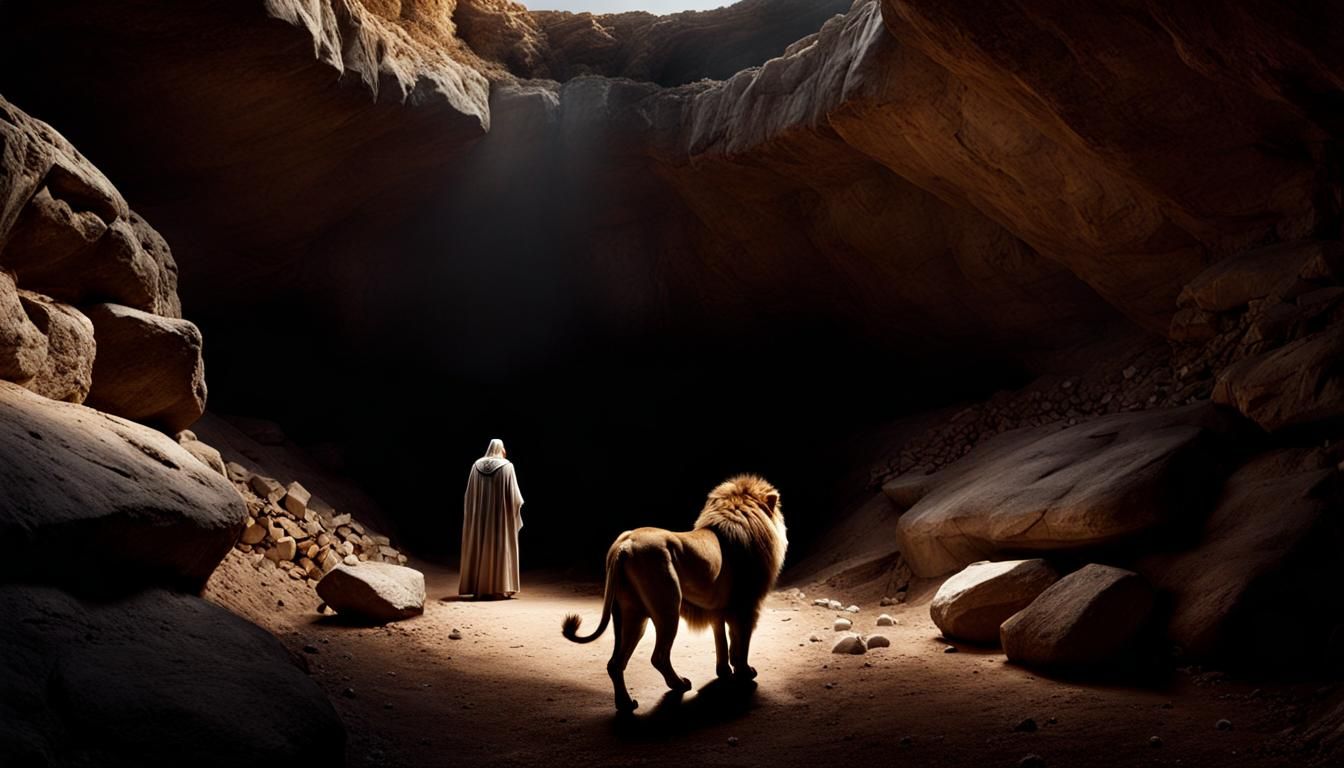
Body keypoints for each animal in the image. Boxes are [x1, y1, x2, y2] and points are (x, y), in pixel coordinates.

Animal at [561, 474, 787, 712]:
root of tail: (624, 545)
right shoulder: (746, 606)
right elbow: (740, 644)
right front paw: (745, 673)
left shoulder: (718, 609)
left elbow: (722, 641)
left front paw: (724, 671)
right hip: (668, 609)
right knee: (658, 656)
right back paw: (679, 684)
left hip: (629, 614)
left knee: (615, 663)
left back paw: (626, 704)